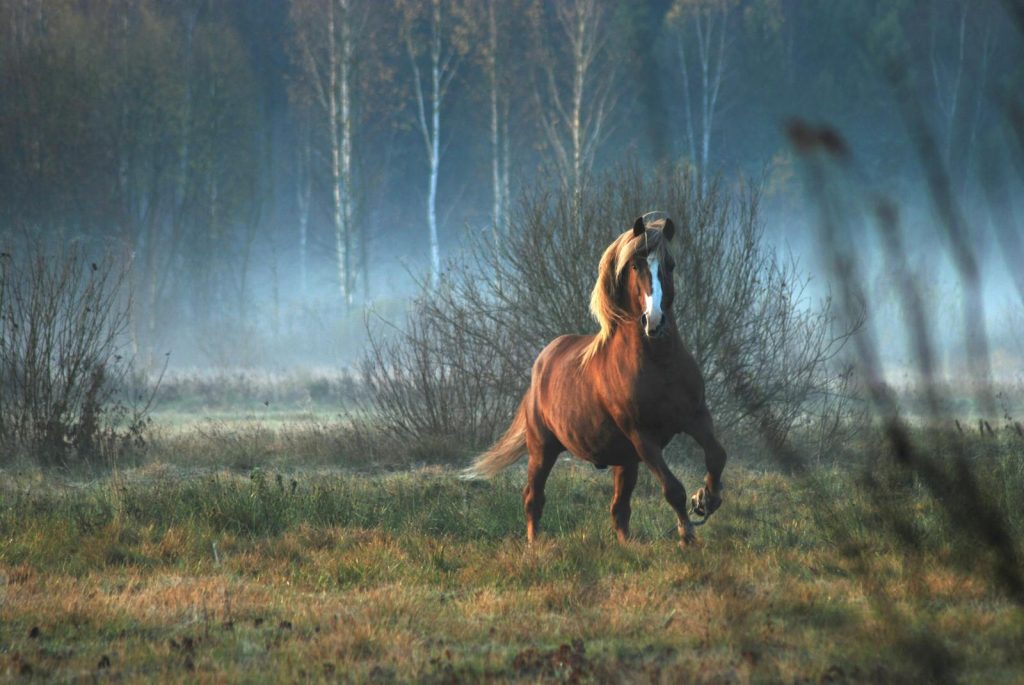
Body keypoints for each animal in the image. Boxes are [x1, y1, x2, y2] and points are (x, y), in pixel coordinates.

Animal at [463, 213, 727, 547]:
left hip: (625, 460)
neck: (659, 364)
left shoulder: (695, 416)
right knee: (533, 498)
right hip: (543, 448)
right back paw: (535, 545)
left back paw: (628, 545)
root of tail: (542, 364)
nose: (654, 322)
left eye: (671, 265)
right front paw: (687, 533)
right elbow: (673, 489)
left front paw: (706, 499)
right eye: (635, 265)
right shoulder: (643, 436)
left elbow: (717, 456)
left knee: (619, 508)